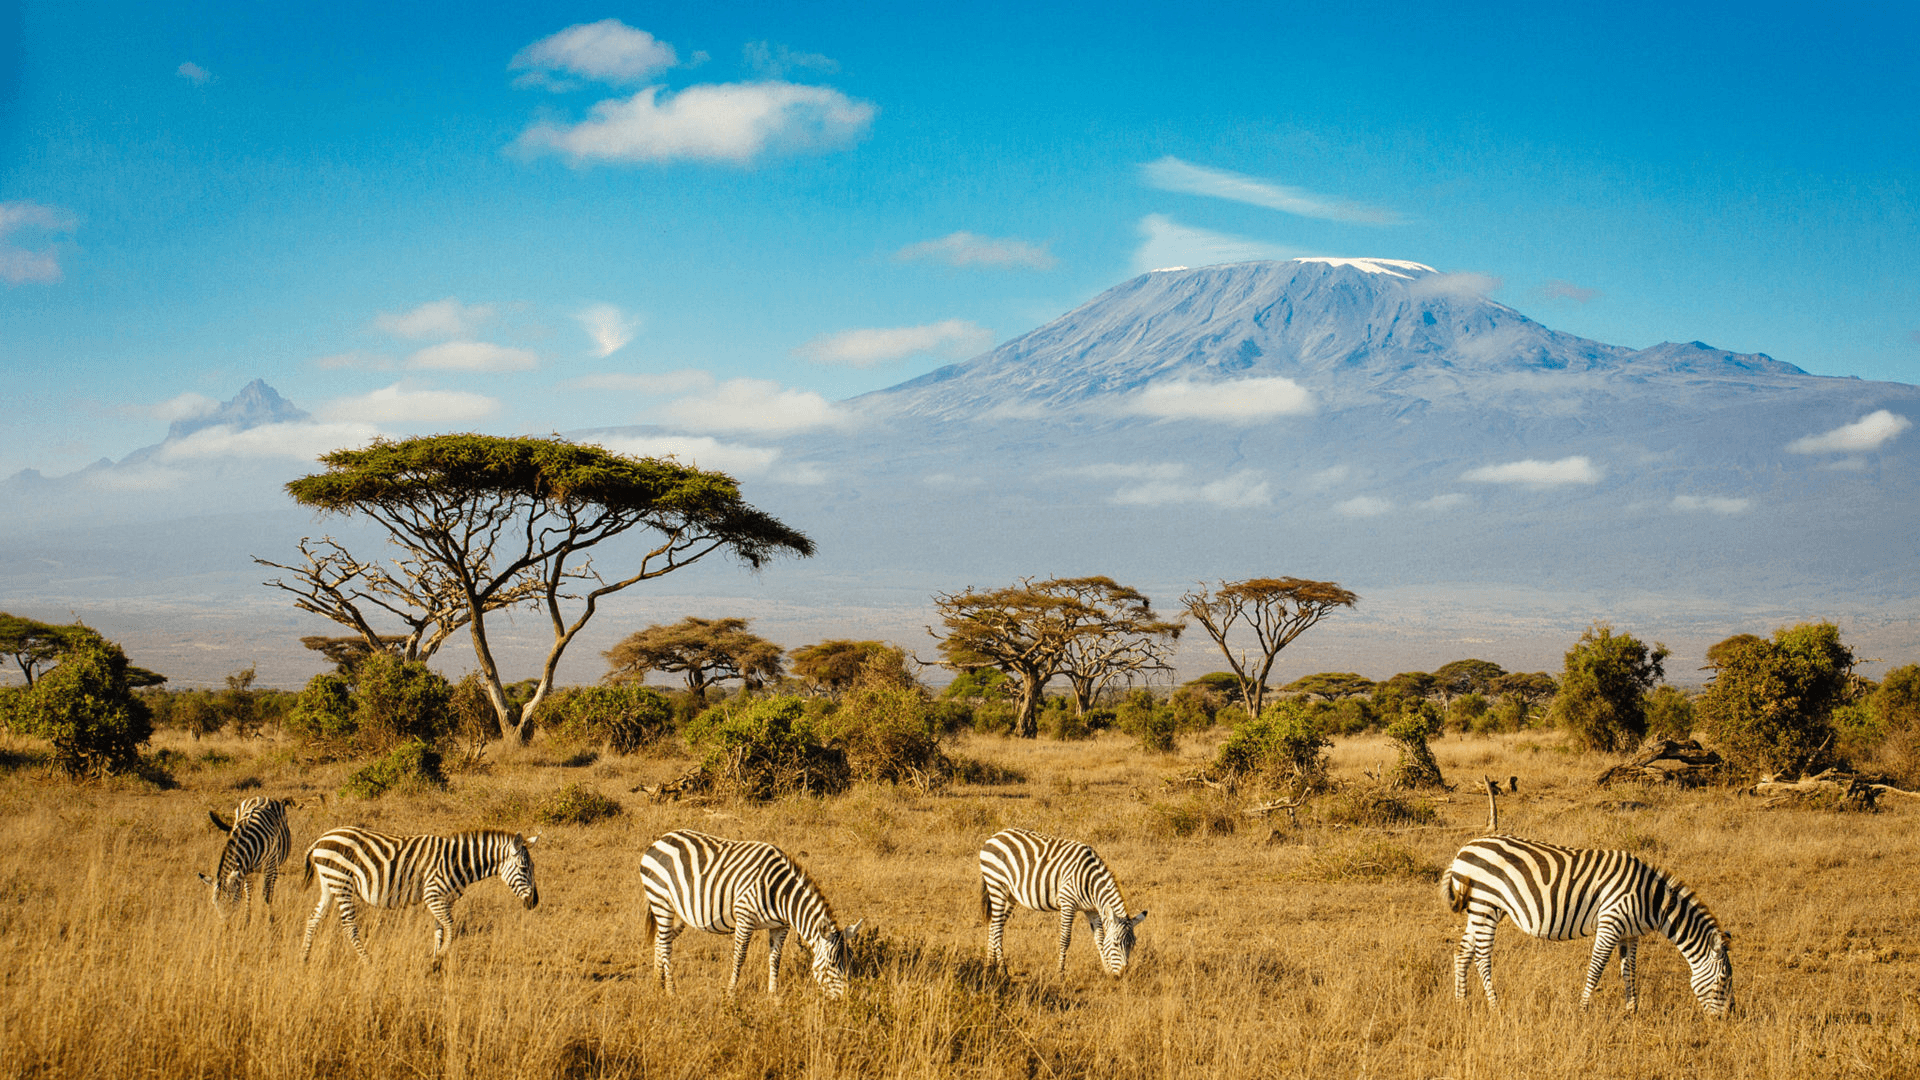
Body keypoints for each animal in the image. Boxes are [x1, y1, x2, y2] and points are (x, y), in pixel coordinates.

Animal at [300, 825, 539, 963]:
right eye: (524, 868)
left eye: (532, 867)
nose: (534, 902)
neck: (458, 861)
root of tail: (321, 839)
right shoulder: (433, 895)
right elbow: (451, 928)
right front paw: (440, 956)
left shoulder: (442, 899)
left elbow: (440, 930)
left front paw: (435, 960)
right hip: (342, 882)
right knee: (349, 925)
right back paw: (367, 960)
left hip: (329, 883)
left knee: (313, 918)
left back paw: (304, 957)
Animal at [640, 829, 863, 1000]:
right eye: (832, 964)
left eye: (851, 960)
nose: (846, 1000)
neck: (780, 893)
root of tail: (661, 839)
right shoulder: (745, 916)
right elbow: (740, 957)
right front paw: (731, 994)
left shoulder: (780, 926)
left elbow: (775, 958)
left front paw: (773, 996)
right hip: (661, 902)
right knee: (666, 946)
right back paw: (671, 991)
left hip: (679, 913)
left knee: (660, 939)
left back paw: (657, 984)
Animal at [978, 827, 1147, 976]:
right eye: (1116, 944)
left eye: (1133, 945)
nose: (1122, 974)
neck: (1090, 883)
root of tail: (994, 836)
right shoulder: (1068, 903)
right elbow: (1065, 939)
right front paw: (1060, 973)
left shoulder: (1091, 909)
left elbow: (1099, 938)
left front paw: (1107, 970)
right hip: (997, 886)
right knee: (997, 928)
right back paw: (1003, 970)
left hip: (1010, 895)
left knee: (994, 924)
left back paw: (990, 965)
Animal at [1444, 835, 1734, 1016]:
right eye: (1723, 980)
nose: (1726, 1019)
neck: (1650, 899)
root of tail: (1465, 849)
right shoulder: (1610, 923)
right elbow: (1596, 969)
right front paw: (1583, 1010)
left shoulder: (1630, 934)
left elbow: (1629, 971)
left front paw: (1632, 1012)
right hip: (1486, 905)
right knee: (1482, 958)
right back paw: (1495, 1007)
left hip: (1480, 910)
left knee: (1462, 952)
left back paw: (1461, 1002)